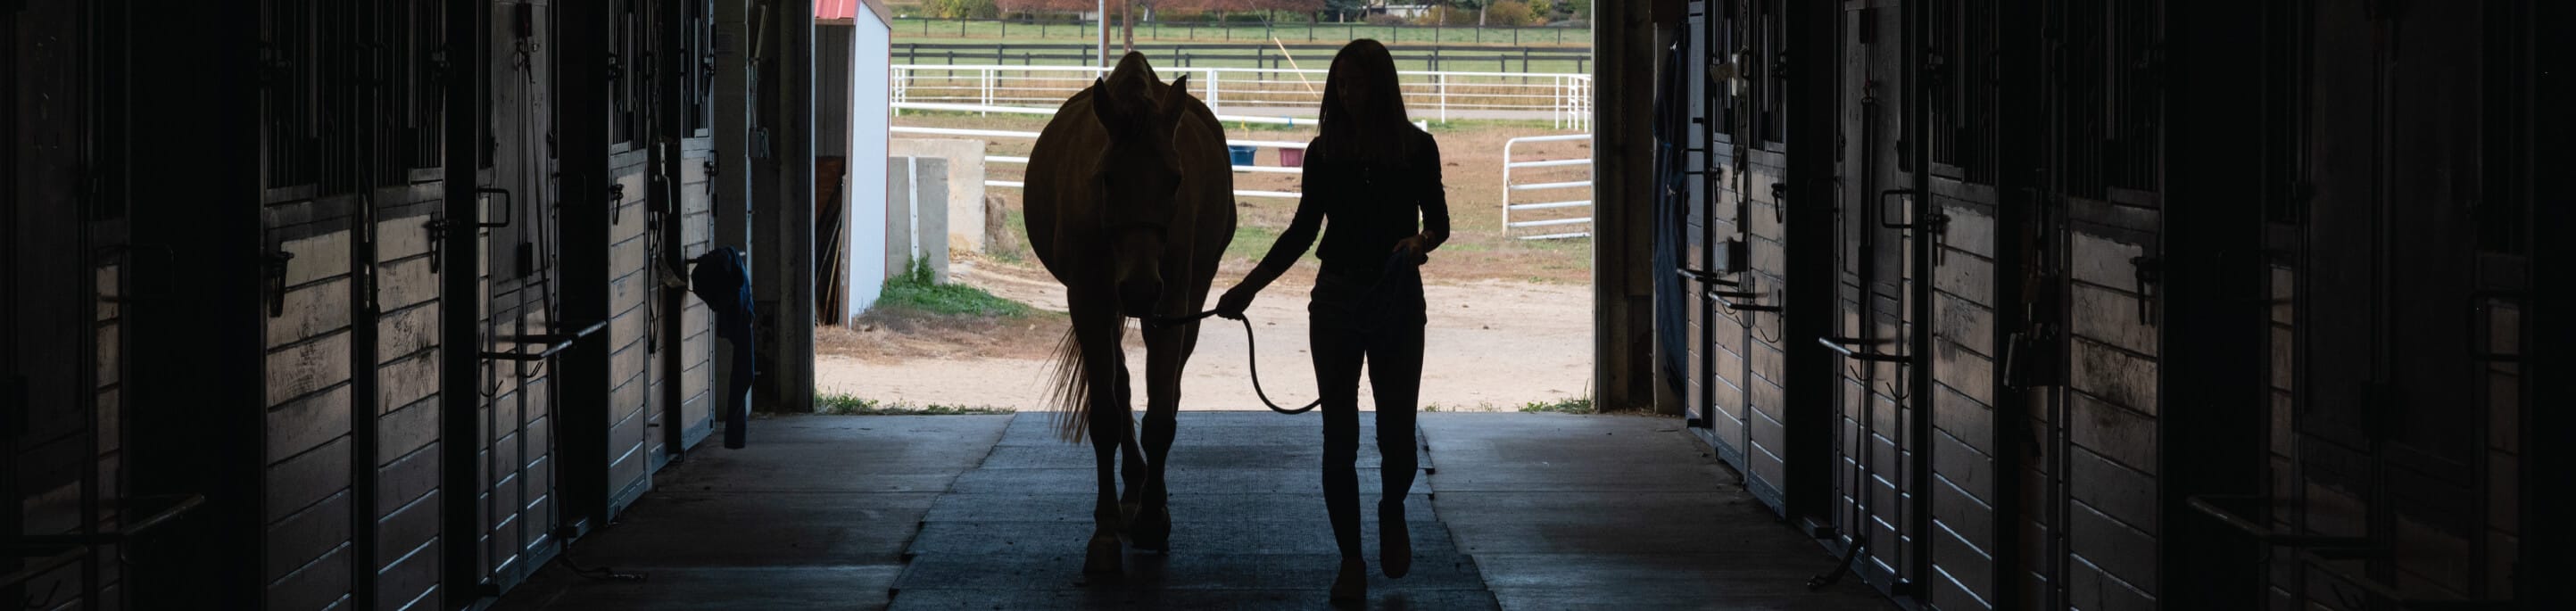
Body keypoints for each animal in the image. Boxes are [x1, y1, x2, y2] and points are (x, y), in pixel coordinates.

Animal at [1022, 52, 1237, 574]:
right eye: (1107, 176)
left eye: (1175, 179)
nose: (1139, 288)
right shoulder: (1089, 301)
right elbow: (1105, 414)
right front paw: (1104, 535)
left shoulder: (1173, 303)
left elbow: (1161, 415)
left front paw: (1154, 518)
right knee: (1119, 387)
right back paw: (1133, 487)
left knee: (1169, 389)